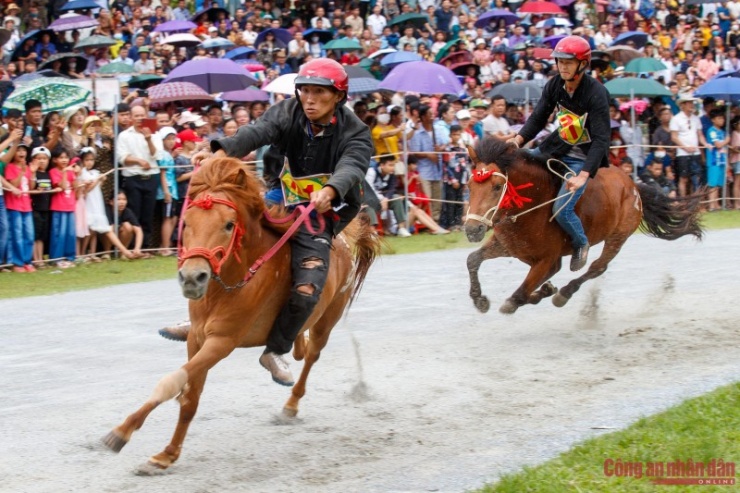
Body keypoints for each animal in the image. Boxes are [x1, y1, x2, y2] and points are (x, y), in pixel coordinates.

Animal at [104, 159, 382, 472]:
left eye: (228, 224)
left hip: (328, 318)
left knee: (312, 354)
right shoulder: (197, 338)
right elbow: (189, 398)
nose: (192, 278)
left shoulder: (221, 342)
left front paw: (122, 433)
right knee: (300, 342)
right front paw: (166, 454)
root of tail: (345, 241)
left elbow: (171, 382)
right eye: (186, 222)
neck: (234, 281)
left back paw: (290, 402)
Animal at [466, 137, 704, 316]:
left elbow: (520, 295)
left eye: (497, 186)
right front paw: (479, 300)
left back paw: (564, 293)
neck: (532, 205)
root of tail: (633, 185)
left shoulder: (548, 261)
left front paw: (540, 293)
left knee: (598, 267)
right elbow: (473, 260)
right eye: (469, 185)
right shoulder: (508, 246)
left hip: (618, 236)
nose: (472, 229)